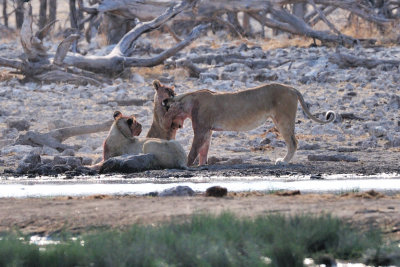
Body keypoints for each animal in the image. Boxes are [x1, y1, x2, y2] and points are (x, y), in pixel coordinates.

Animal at [161, 84, 336, 168]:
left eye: (167, 109)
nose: (163, 118)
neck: (187, 101)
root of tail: (291, 88)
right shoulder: (207, 130)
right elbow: (204, 150)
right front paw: (202, 165)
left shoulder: (201, 129)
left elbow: (194, 150)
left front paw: (186, 165)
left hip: (283, 120)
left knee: (293, 142)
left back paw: (283, 161)